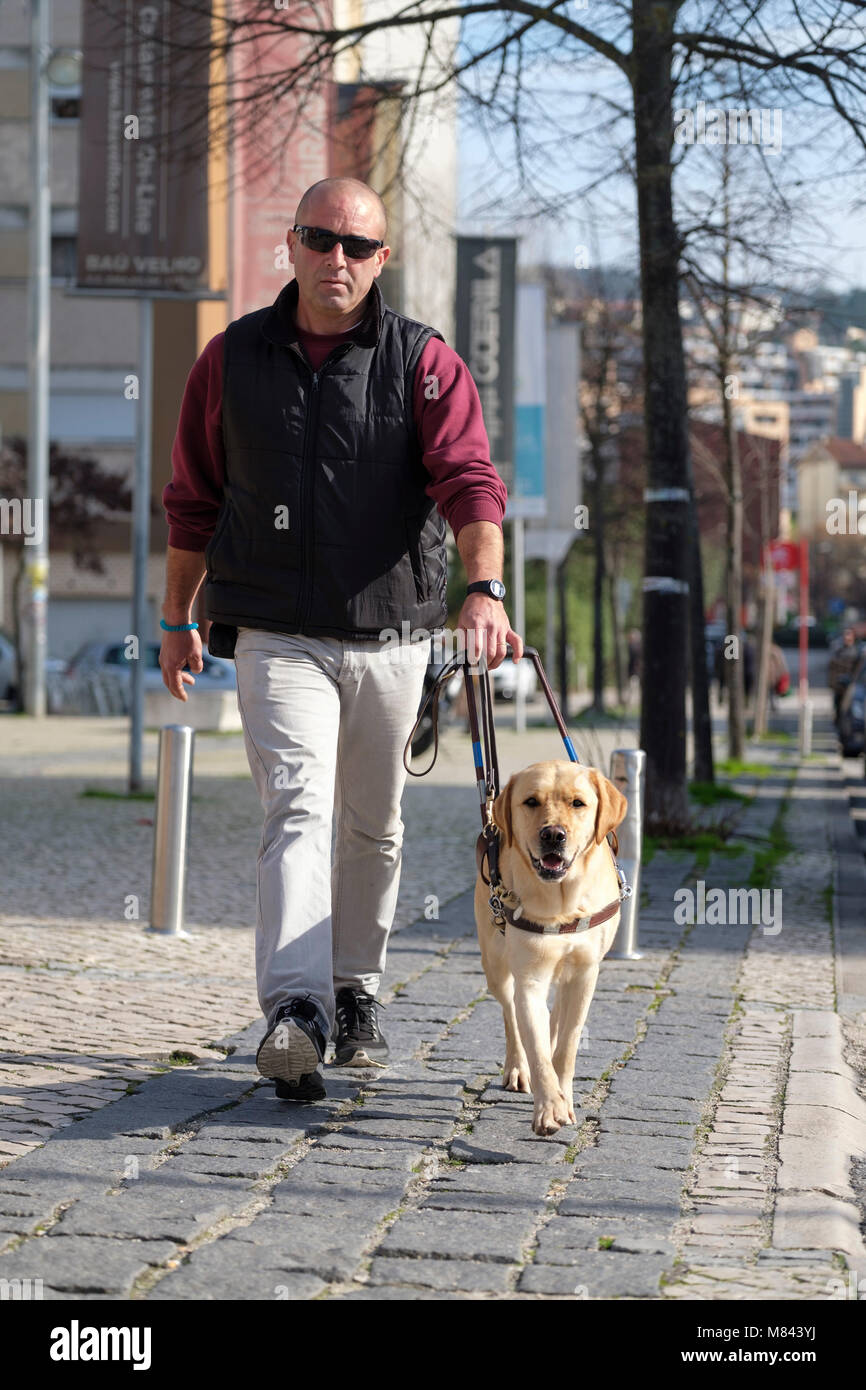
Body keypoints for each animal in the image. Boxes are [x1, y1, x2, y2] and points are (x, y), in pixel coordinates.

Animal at [478, 767, 625, 1134]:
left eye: (578, 803)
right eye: (531, 801)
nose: (553, 835)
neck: (562, 902)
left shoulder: (585, 975)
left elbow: (567, 1045)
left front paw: (564, 1097)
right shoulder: (530, 978)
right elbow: (537, 1048)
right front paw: (548, 1109)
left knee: (555, 1017)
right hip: (496, 967)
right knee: (513, 1016)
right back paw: (518, 1068)